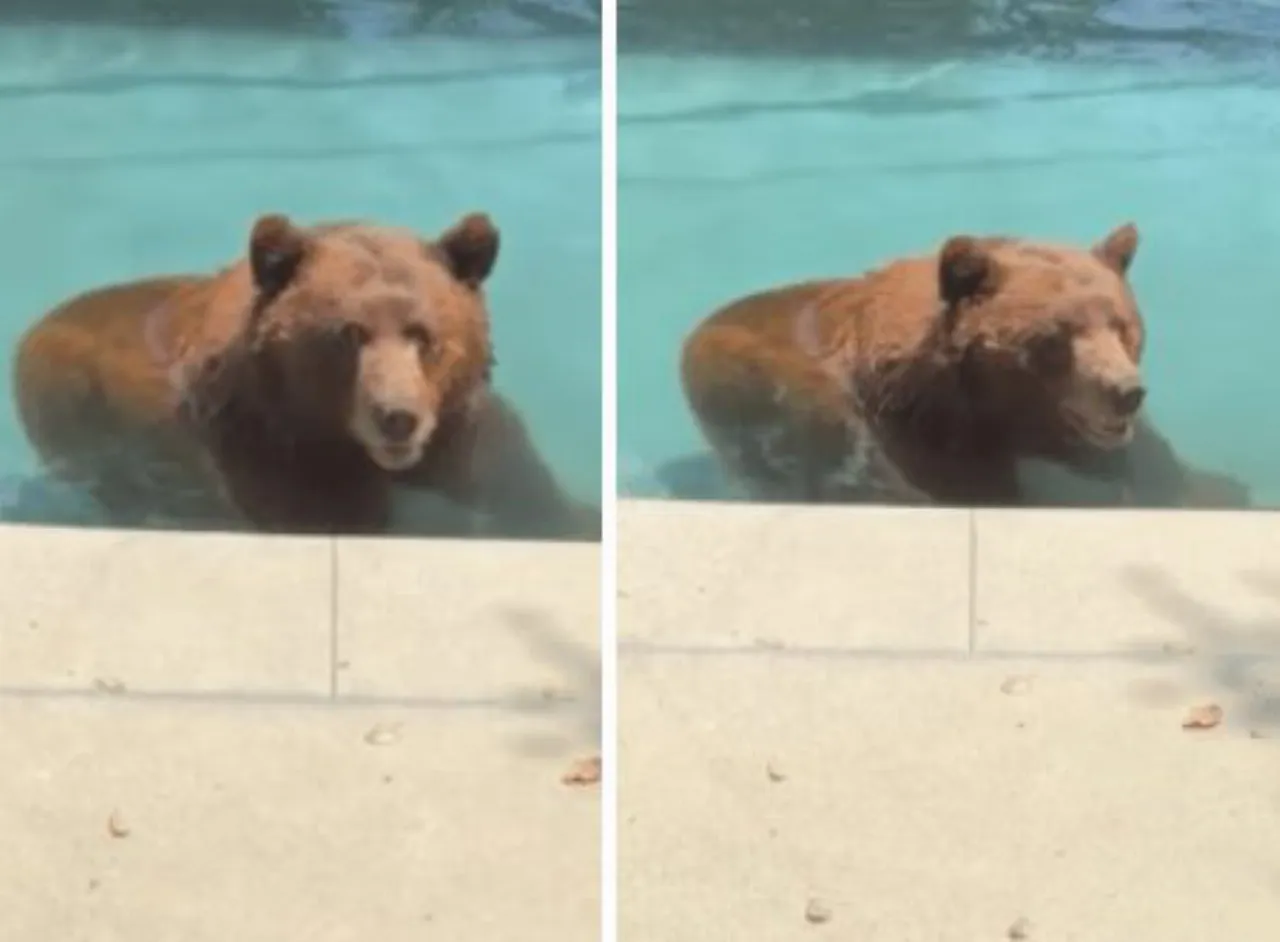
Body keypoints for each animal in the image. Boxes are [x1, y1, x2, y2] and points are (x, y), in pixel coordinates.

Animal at [12, 212, 600, 540]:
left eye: (423, 334)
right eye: (349, 334)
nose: (398, 417)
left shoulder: (465, 435)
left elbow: (535, 501)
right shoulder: (272, 454)